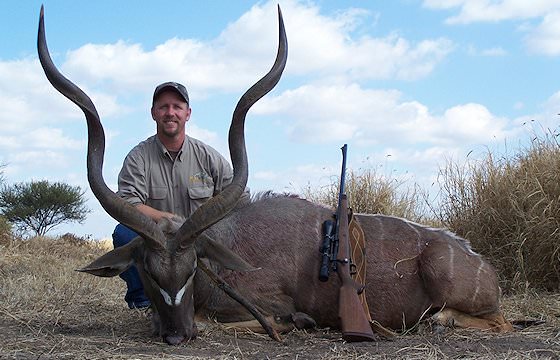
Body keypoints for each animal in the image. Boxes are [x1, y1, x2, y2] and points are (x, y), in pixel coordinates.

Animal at [38, 4, 512, 344]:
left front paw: (297, 322)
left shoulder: (265, 303)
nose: (176, 335)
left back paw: (439, 321)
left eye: (192, 269)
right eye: (151, 275)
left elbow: (251, 320)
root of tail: (478, 261)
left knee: (499, 321)